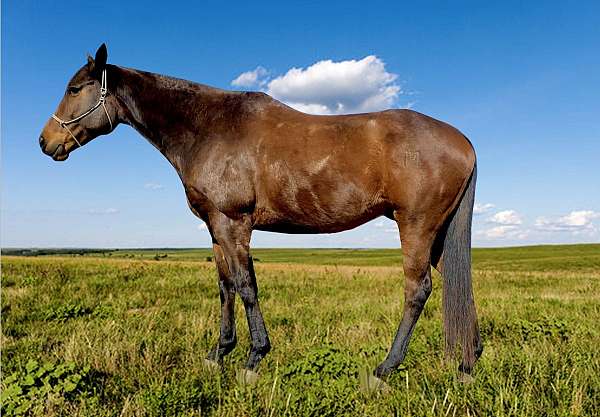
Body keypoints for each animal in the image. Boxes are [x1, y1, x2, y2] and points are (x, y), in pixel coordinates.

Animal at [38, 44, 482, 386]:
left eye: (74, 88)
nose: (45, 141)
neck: (209, 128)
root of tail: (462, 141)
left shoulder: (233, 223)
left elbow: (246, 286)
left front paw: (253, 360)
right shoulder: (215, 230)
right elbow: (225, 288)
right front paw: (218, 353)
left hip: (416, 225)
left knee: (418, 290)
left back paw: (384, 370)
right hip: (438, 234)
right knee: (455, 283)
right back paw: (466, 363)